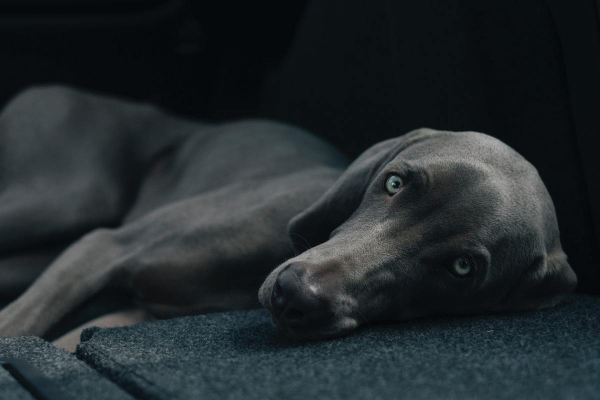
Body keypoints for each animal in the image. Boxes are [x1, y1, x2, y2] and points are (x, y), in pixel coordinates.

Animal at [0, 86, 576, 342]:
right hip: (65, 196)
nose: (293, 294)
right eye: (394, 183)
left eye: (462, 269)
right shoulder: (102, 247)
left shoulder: (134, 314)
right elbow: (16, 328)